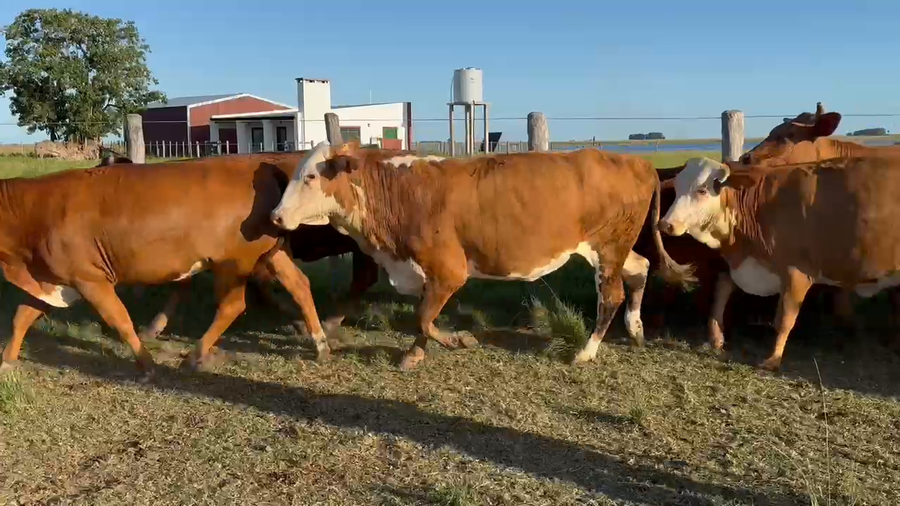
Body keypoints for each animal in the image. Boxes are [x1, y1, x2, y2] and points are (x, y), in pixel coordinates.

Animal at [0, 152, 334, 380]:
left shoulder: (90, 279)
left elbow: (119, 319)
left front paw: (146, 364)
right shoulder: (51, 278)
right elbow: (21, 317)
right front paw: (6, 360)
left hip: (232, 263)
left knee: (232, 306)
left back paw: (194, 355)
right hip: (269, 254)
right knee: (299, 285)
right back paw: (320, 343)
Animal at [270, 141, 696, 371]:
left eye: (310, 176)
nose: (275, 216)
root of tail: (637, 162)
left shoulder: (449, 270)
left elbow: (424, 318)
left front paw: (457, 340)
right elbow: (423, 317)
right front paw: (416, 354)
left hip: (606, 249)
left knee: (611, 295)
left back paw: (586, 351)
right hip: (617, 250)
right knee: (640, 270)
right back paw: (636, 330)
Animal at [658, 155, 900, 370]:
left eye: (701, 190)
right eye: (677, 187)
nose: (665, 224)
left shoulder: (797, 272)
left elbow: (784, 319)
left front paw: (773, 359)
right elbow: (723, 289)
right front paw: (716, 337)